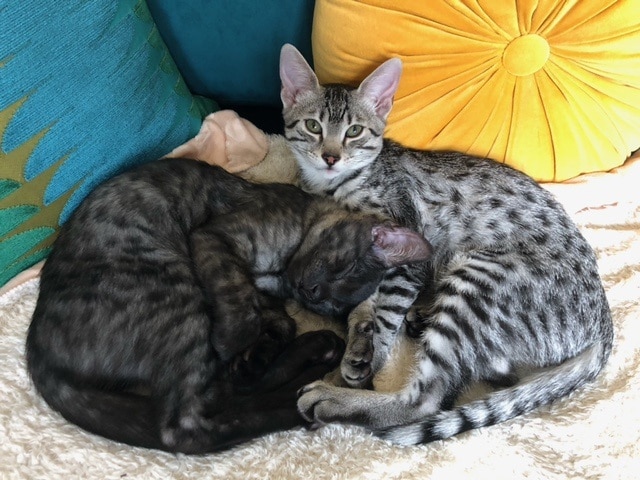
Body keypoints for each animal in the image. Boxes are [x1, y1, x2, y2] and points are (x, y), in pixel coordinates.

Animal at [26, 158, 432, 454]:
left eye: (333, 305)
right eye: (343, 265)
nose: (312, 292)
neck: (279, 272)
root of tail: (38, 356)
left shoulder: (266, 293)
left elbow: (275, 322)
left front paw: (257, 352)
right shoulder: (216, 238)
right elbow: (241, 301)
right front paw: (239, 341)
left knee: (213, 401)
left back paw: (311, 366)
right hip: (176, 285)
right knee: (192, 421)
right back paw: (302, 392)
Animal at [278, 44, 614, 444]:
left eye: (354, 132)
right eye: (313, 126)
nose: (331, 157)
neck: (335, 187)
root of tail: (603, 326)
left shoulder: (408, 249)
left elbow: (386, 316)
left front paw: (372, 357)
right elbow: (368, 302)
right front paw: (360, 342)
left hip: (478, 284)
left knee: (427, 398)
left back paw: (334, 399)